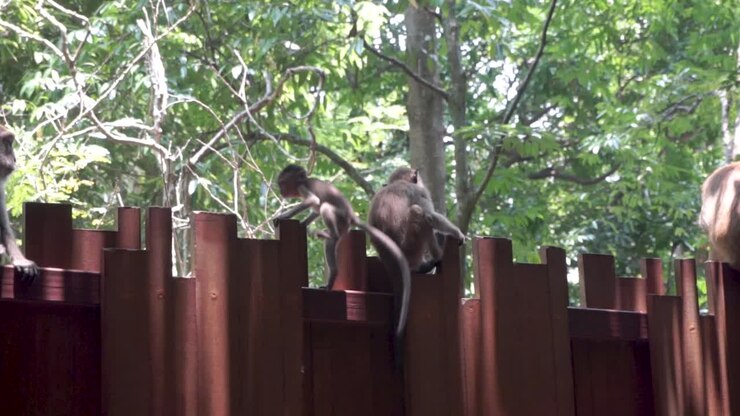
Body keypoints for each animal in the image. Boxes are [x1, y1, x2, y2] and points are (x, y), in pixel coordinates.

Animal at [273, 164, 410, 365]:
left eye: (283, 183)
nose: (281, 191)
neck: (303, 181)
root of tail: (352, 217)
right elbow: (314, 210)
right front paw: (304, 223)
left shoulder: (303, 188)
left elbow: (314, 201)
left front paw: (283, 216)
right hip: (343, 225)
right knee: (330, 239)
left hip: (340, 219)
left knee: (326, 208)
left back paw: (329, 237)